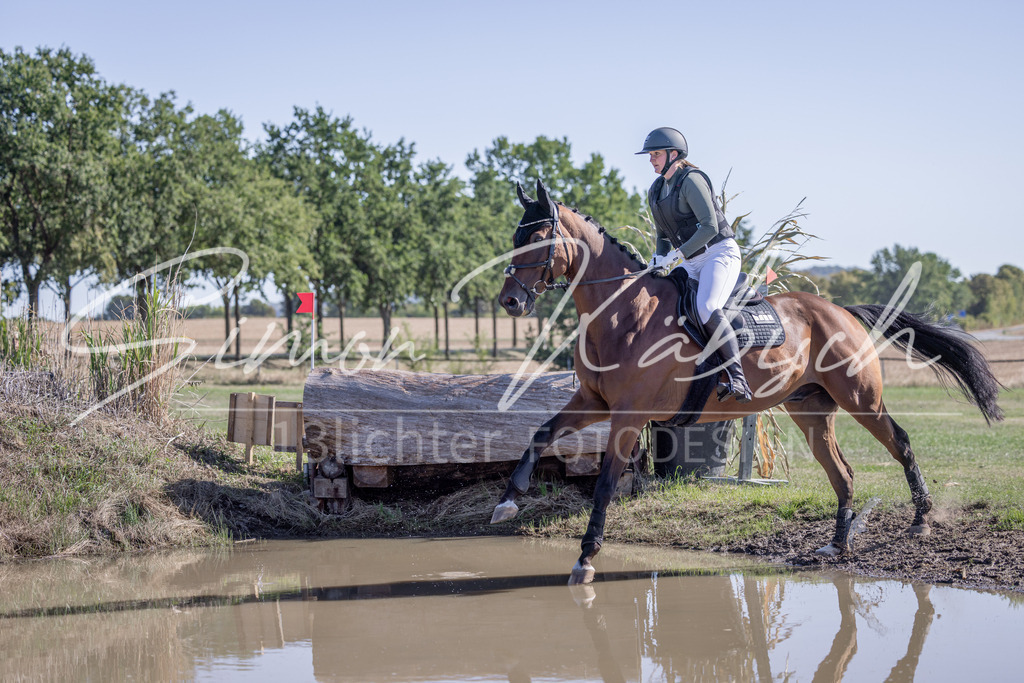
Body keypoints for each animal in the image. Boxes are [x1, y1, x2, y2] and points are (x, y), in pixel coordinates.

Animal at [490, 180, 1004, 585]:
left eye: (537, 238)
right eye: (514, 236)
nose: (510, 301)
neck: (620, 312)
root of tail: (840, 309)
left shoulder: (628, 416)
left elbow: (603, 486)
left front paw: (586, 557)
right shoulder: (593, 401)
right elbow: (539, 436)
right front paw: (507, 504)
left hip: (861, 397)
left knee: (900, 441)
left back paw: (921, 519)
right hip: (810, 410)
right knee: (842, 473)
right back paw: (837, 546)